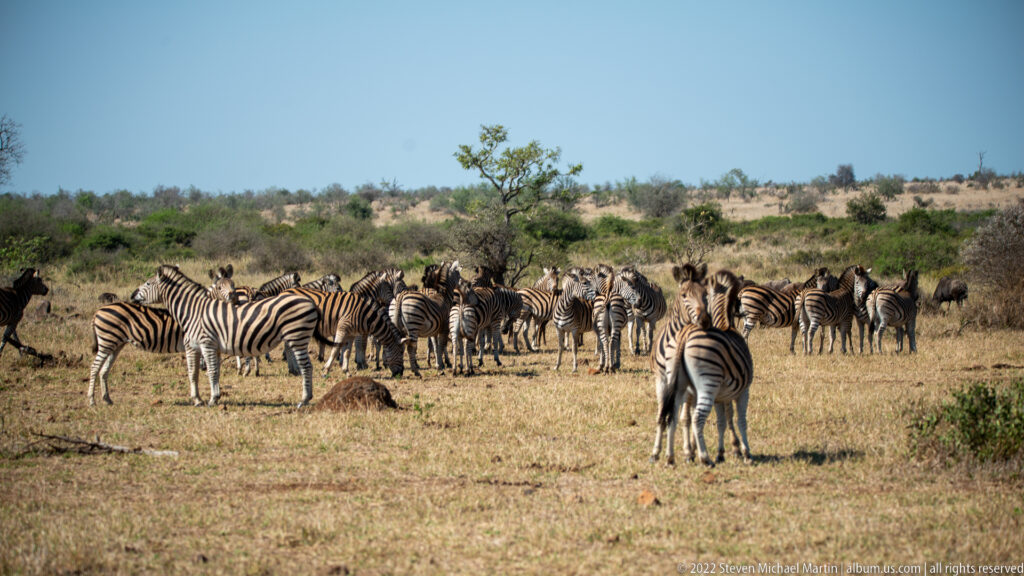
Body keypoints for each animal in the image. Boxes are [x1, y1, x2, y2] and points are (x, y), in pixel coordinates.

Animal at [131, 265, 330, 407]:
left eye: (147, 284)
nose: (133, 295)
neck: (193, 310)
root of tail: (309, 301)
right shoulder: (199, 347)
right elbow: (196, 372)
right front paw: (200, 399)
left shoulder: (207, 344)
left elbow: (210, 371)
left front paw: (212, 399)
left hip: (297, 337)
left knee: (307, 367)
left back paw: (304, 400)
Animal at [649, 262, 710, 465]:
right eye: (684, 295)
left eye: (705, 293)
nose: (705, 320)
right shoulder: (661, 380)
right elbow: (662, 416)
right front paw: (655, 453)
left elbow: (685, 418)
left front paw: (687, 451)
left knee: (689, 415)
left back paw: (691, 449)